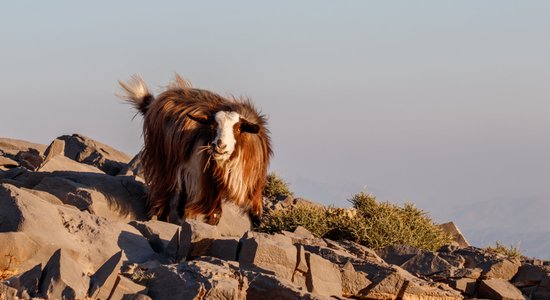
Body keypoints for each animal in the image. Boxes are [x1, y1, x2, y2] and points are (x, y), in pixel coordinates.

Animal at [118, 75, 272, 225]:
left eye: (238, 128)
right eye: (213, 125)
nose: (220, 146)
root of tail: (154, 102)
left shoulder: (253, 184)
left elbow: (255, 214)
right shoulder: (209, 180)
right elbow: (215, 213)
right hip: (164, 160)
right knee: (166, 191)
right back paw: (164, 217)